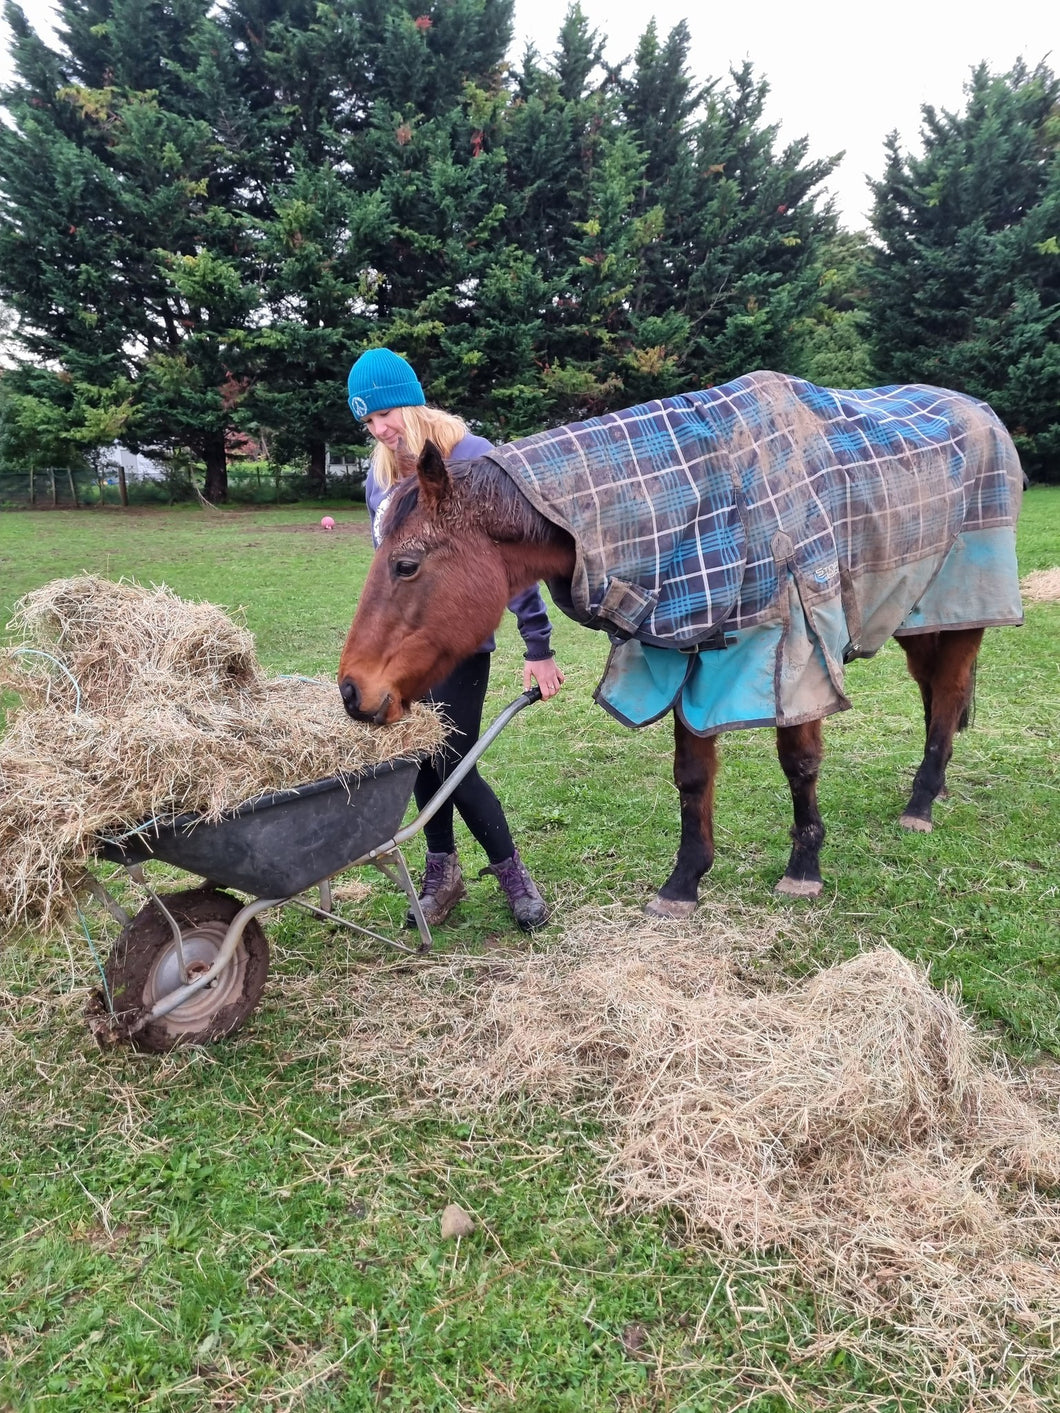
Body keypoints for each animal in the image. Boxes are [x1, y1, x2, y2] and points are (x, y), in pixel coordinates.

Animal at [336, 375, 1023, 921]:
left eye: (405, 565)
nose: (352, 690)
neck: (710, 499)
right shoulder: (685, 653)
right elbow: (692, 776)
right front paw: (684, 882)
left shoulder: (798, 650)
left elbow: (799, 763)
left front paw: (804, 868)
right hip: (918, 615)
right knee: (937, 695)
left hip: (961, 606)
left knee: (947, 696)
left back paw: (921, 802)